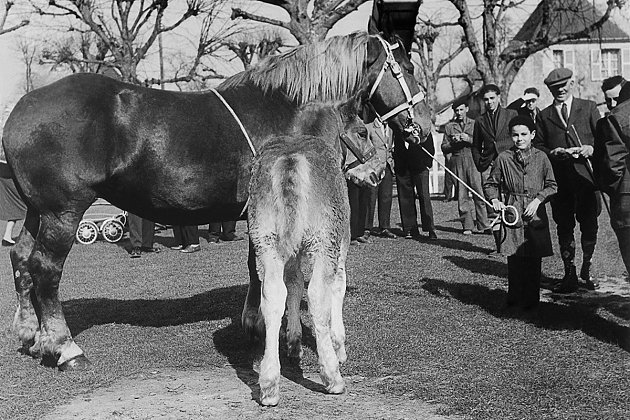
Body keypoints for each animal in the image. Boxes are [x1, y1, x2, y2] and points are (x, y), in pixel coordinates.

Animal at [2, 32, 432, 370]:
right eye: (407, 67)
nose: (425, 127)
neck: (285, 111)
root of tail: (19, 111)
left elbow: (256, 268)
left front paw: (253, 322)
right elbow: (263, 270)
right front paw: (261, 329)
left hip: (37, 212)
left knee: (21, 258)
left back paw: (31, 335)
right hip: (62, 212)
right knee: (44, 269)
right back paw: (64, 347)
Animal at [249, 99, 372, 406]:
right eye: (363, 132)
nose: (377, 171)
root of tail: (290, 159)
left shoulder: (290, 253)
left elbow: (293, 285)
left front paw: (293, 342)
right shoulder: (340, 245)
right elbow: (337, 287)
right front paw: (340, 347)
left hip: (265, 240)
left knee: (272, 294)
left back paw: (269, 385)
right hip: (323, 240)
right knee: (317, 293)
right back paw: (332, 376)